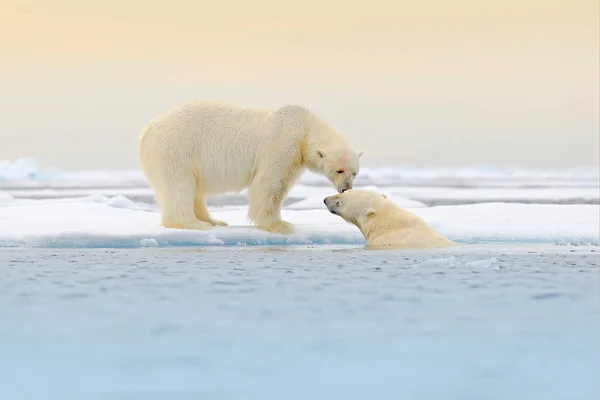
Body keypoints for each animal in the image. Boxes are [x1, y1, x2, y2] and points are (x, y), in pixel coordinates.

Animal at [140, 99, 364, 234]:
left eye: (354, 173)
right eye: (339, 170)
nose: (346, 188)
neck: (305, 128)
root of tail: (147, 130)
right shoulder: (283, 143)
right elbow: (271, 183)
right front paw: (281, 225)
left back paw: (215, 221)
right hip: (177, 148)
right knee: (178, 186)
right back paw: (195, 224)